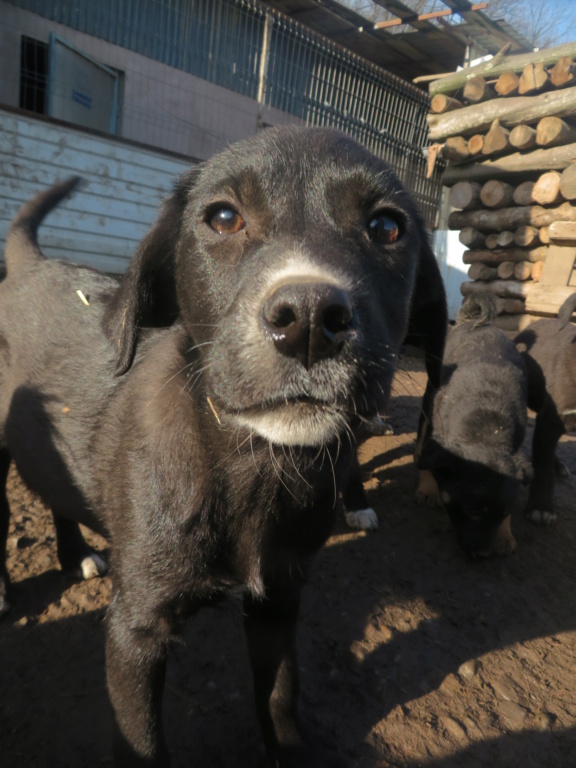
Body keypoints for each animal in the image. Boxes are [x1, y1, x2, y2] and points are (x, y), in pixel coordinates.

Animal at [0, 129, 446, 764]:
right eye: (224, 218)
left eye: (387, 227)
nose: (309, 319)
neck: (250, 466)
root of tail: (30, 265)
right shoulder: (135, 630)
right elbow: (143, 742)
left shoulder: (279, 601)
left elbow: (281, 698)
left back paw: (75, 552)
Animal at [414, 294, 540, 560]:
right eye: (472, 511)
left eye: (504, 513)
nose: (483, 554)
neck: (487, 428)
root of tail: (472, 321)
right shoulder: (438, 429)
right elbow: (431, 457)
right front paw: (429, 488)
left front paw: (504, 534)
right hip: (430, 394)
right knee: (421, 431)